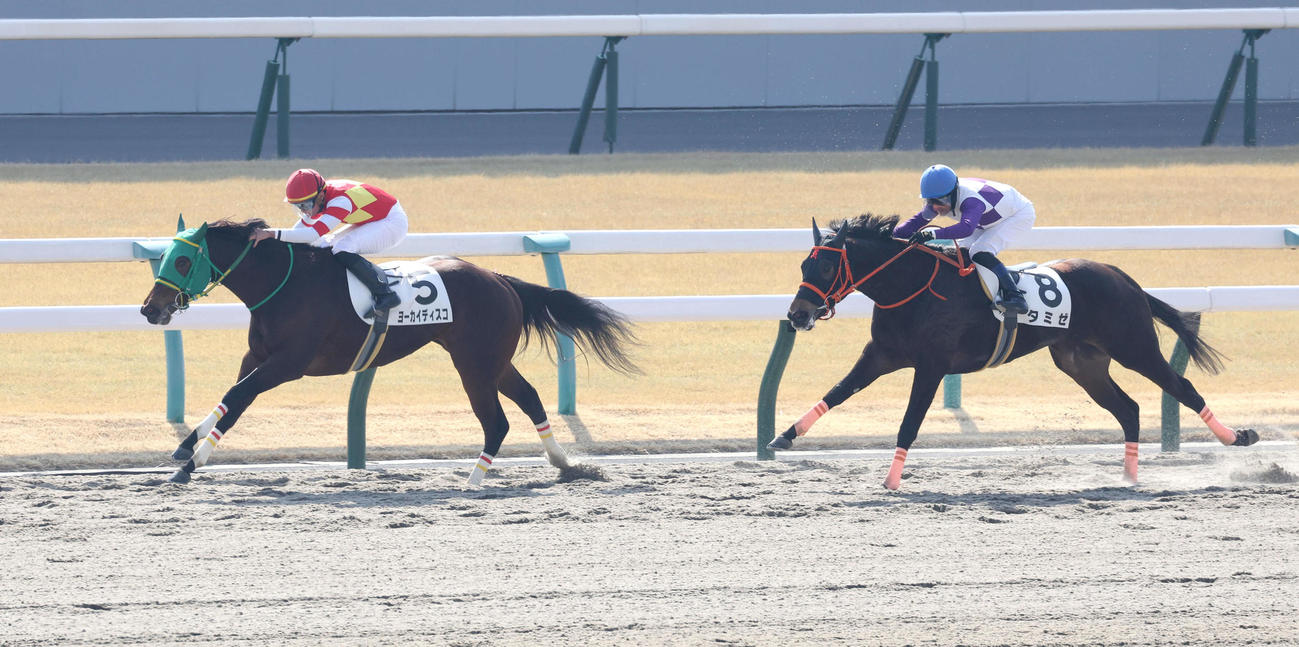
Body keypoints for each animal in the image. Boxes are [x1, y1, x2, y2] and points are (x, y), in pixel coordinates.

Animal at [139, 218, 638, 485]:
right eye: (163, 258)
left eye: (182, 260)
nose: (149, 309)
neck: (284, 285)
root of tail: (499, 278)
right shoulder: (258, 358)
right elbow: (231, 400)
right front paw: (185, 448)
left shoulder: (287, 364)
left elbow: (238, 396)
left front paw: (191, 463)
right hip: (493, 360)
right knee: (531, 398)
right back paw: (564, 463)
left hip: (474, 364)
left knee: (496, 420)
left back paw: (474, 480)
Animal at [768, 214, 1258, 490]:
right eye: (803, 264)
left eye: (825, 266)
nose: (797, 314)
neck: (912, 286)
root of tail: (1123, 276)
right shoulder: (882, 354)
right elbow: (837, 392)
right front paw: (784, 436)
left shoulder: (931, 366)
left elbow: (909, 423)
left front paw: (891, 481)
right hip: (1081, 362)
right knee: (1130, 409)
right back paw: (1129, 477)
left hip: (1134, 346)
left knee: (1182, 387)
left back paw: (1237, 437)